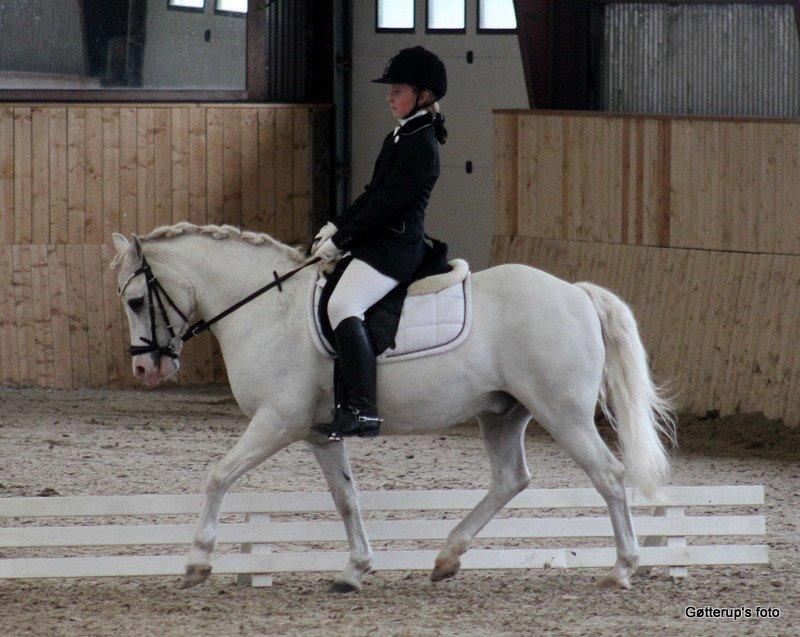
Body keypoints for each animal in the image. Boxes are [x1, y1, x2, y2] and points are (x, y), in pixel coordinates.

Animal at [110, 222, 674, 591]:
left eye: (136, 301)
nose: (144, 371)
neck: (267, 309)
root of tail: (576, 293)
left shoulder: (277, 421)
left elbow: (218, 475)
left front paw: (197, 562)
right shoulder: (319, 433)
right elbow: (346, 498)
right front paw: (354, 570)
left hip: (564, 414)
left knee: (608, 475)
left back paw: (622, 568)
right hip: (502, 413)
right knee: (511, 479)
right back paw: (447, 558)